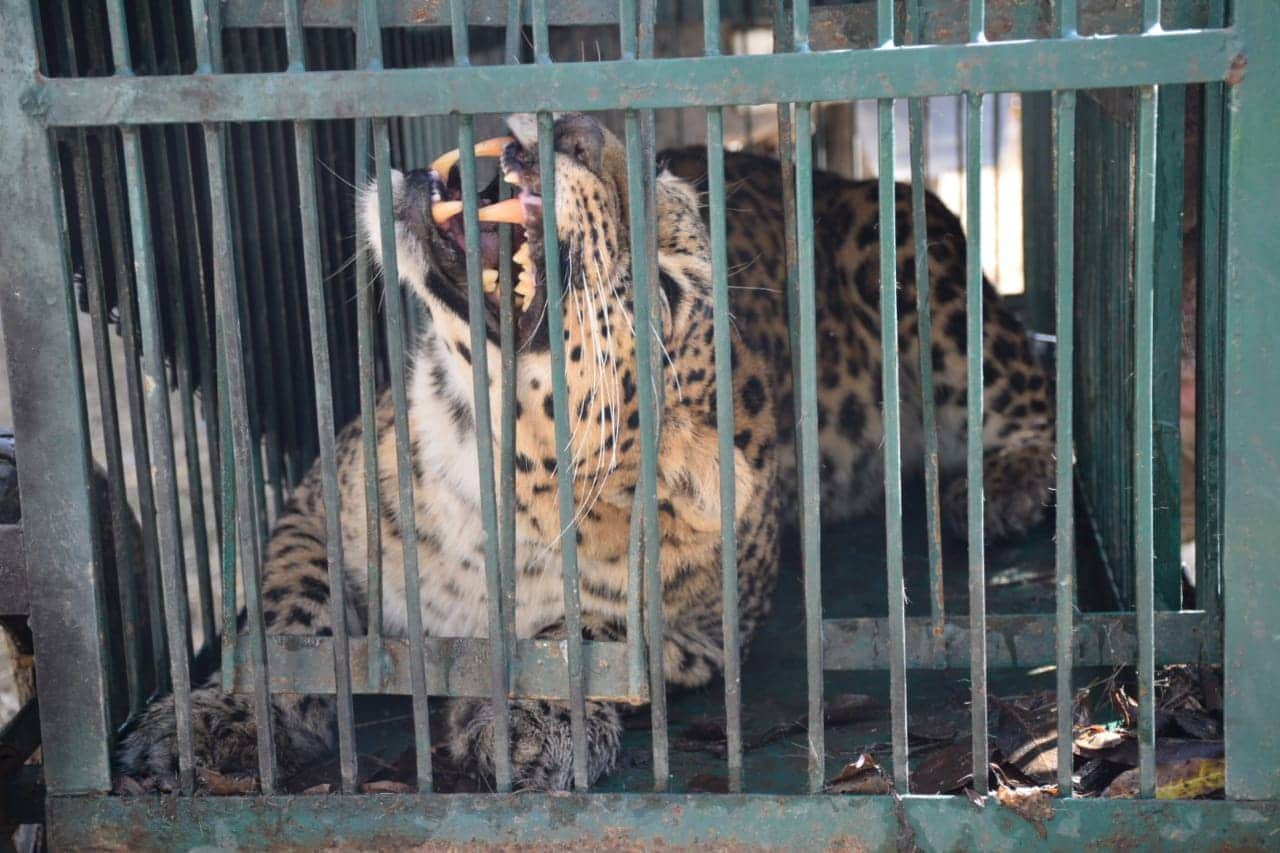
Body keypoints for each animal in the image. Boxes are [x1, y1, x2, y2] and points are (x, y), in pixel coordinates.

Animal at [116, 111, 1053, 793]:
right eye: (657, 178)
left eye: (666, 290)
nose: (581, 131)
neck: (482, 465)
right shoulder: (315, 501)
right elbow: (286, 617)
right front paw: (220, 716)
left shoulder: (708, 621)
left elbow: (589, 628)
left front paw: (533, 718)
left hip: (912, 259)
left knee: (1032, 392)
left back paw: (1002, 485)